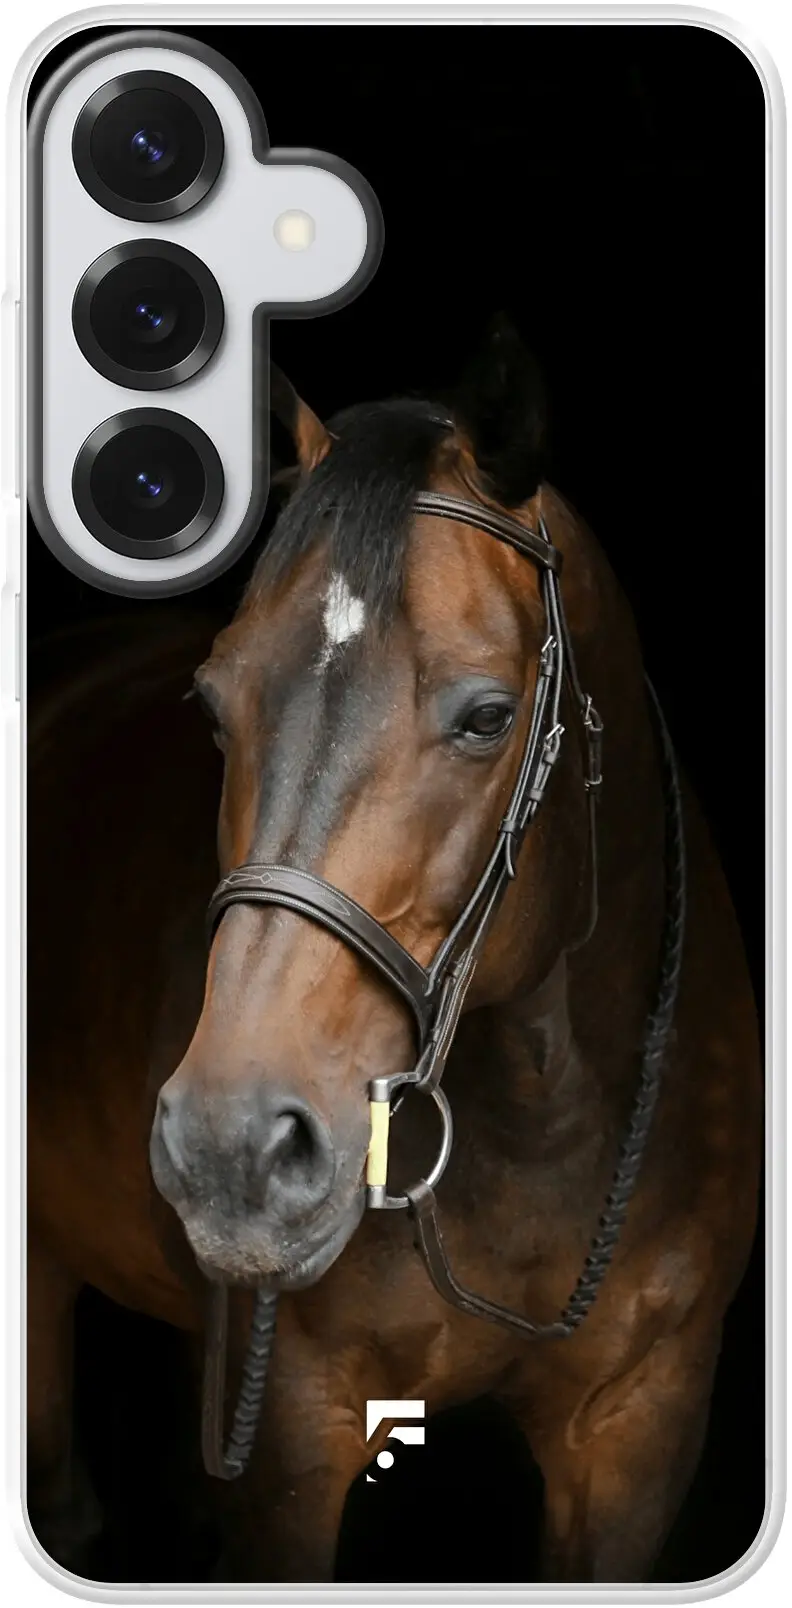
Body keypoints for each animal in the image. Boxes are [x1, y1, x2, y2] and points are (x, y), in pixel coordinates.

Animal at [27, 324, 762, 1583]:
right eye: (212, 707)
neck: (541, 1120)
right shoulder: (292, 1440)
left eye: (488, 716)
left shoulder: (640, 1427)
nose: (231, 1147)